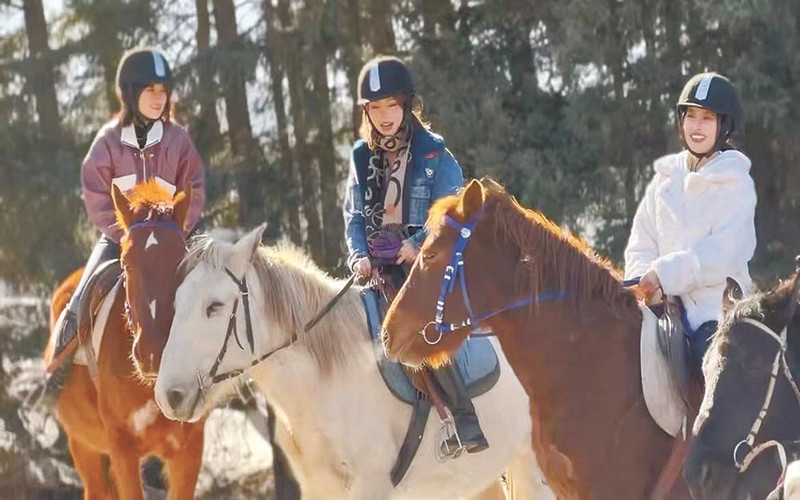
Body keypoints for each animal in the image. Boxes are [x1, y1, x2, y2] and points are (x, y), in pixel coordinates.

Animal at [42, 181, 206, 500]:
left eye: (181, 262)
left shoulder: (189, 449)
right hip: (83, 446)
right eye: (127, 264)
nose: (153, 352)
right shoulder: (123, 450)